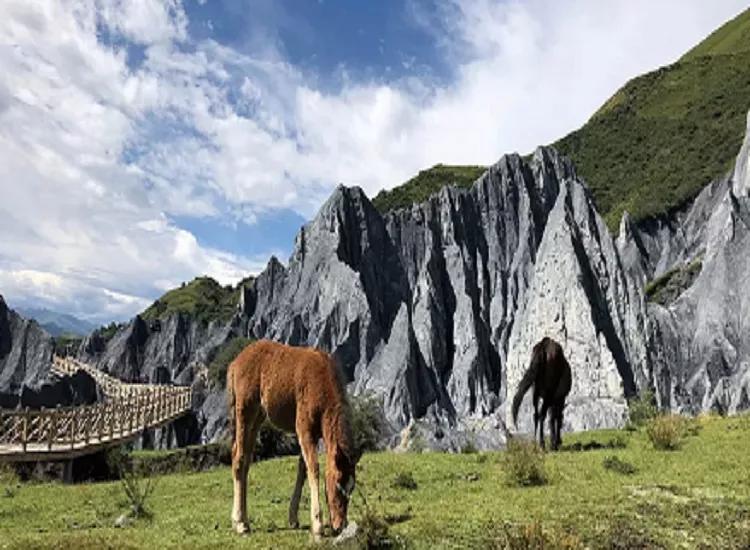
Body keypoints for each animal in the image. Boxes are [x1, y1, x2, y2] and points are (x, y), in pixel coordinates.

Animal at [228, 340, 360, 540]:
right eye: (338, 484)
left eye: (351, 488)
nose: (339, 525)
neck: (323, 384)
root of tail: (235, 363)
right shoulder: (303, 429)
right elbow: (314, 468)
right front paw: (317, 525)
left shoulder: (313, 434)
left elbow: (302, 468)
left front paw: (293, 518)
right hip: (244, 410)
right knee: (239, 458)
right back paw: (240, 523)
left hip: (258, 417)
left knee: (245, 461)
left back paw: (243, 520)